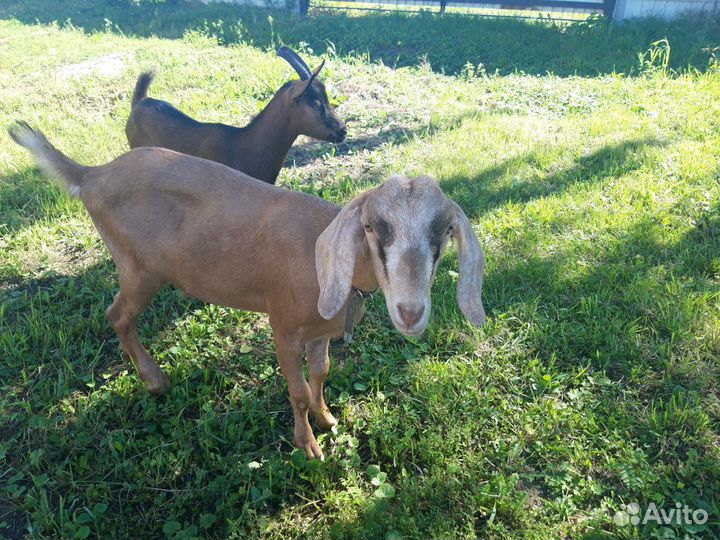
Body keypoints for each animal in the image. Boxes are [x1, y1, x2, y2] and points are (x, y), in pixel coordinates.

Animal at [10, 121, 486, 459]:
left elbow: (321, 373)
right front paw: (308, 446)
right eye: (371, 227)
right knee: (117, 316)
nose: (410, 311)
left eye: (444, 232)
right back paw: (156, 381)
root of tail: (91, 175)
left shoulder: (318, 333)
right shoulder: (283, 327)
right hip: (138, 267)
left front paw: (327, 418)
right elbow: (296, 391)